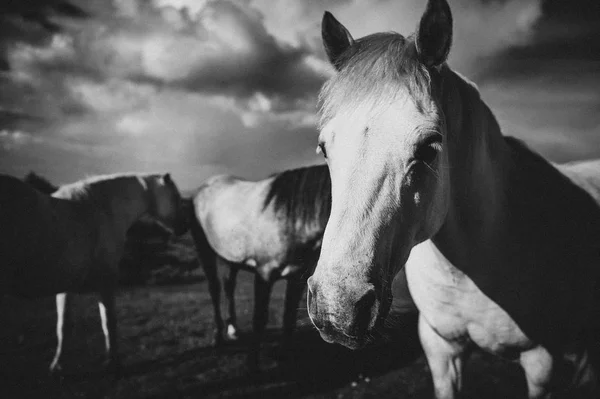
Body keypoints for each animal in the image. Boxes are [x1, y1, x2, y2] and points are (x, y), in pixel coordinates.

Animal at [0, 173, 188, 376]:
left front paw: (57, 365)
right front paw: (113, 363)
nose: (184, 228)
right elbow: (108, 323)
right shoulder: (106, 281)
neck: (101, 210)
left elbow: (63, 326)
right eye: (176, 197)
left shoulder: (66, 287)